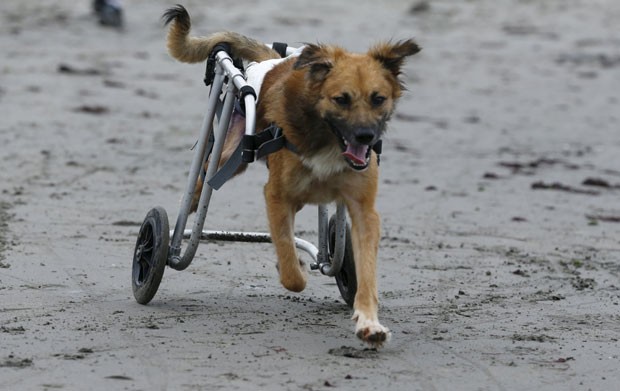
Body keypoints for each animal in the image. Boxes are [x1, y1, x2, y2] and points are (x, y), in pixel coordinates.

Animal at [162, 5, 418, 350]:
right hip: (225, 157)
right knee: (198, 191)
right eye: (342, 99)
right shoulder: (276, 196)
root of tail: (275, 61)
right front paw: (293, 267)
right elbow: (289, 266)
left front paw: (369, 323)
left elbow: (365, 272)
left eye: (378, 98)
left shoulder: (364, 211)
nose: (366, 137)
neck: (327, 140)